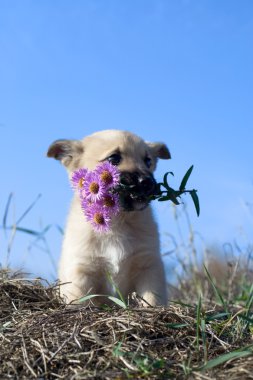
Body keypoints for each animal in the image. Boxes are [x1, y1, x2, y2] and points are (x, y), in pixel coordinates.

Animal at [47, 130, 170, 306]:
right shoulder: (81, 271)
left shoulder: (149, 266)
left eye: (148, 161)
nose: (146, 182)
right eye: (114, 158)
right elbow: (79, 300)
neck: (117, 220)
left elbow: (153, 299)